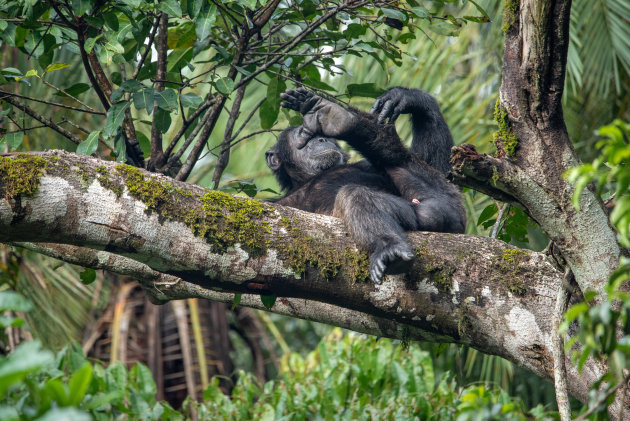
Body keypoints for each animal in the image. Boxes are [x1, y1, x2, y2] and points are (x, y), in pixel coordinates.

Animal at [264, 87, 466, 282]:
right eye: (303, 134)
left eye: (320, 135)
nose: (321, 139)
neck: (308, 178)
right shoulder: (279, 205)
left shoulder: (365, 165)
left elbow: (443, 169)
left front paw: (405, 97)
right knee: (355, 195)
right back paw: (389, 248)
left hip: (450, 207)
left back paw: (336, 116)